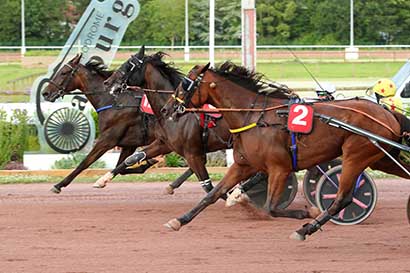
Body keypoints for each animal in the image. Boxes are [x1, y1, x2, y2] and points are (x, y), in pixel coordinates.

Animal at [42, 54, 159, 192]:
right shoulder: (129, 143)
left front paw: (59, 185)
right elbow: (122, 167)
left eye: (63, 72)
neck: (114, 101)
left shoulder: (107, 140)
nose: (45, 93)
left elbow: (85, 162)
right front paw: (149, 163)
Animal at [94, 46, 232, 193]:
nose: (107, 82)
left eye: (129, 65)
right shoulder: (164, 143)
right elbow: (132, 158)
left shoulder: (191, 152)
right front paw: (103, 179)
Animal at [163, 61, 410, 238]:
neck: (254, 117)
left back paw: (305, 230)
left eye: (186, 83)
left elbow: (271, 208)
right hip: (381, 158)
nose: (166, 108)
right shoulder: (244, 165)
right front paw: (178, 221)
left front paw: (309, 212)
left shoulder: (279, 168)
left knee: (342, 198)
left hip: (356, 154)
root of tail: (388, 114)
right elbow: (211, 195)